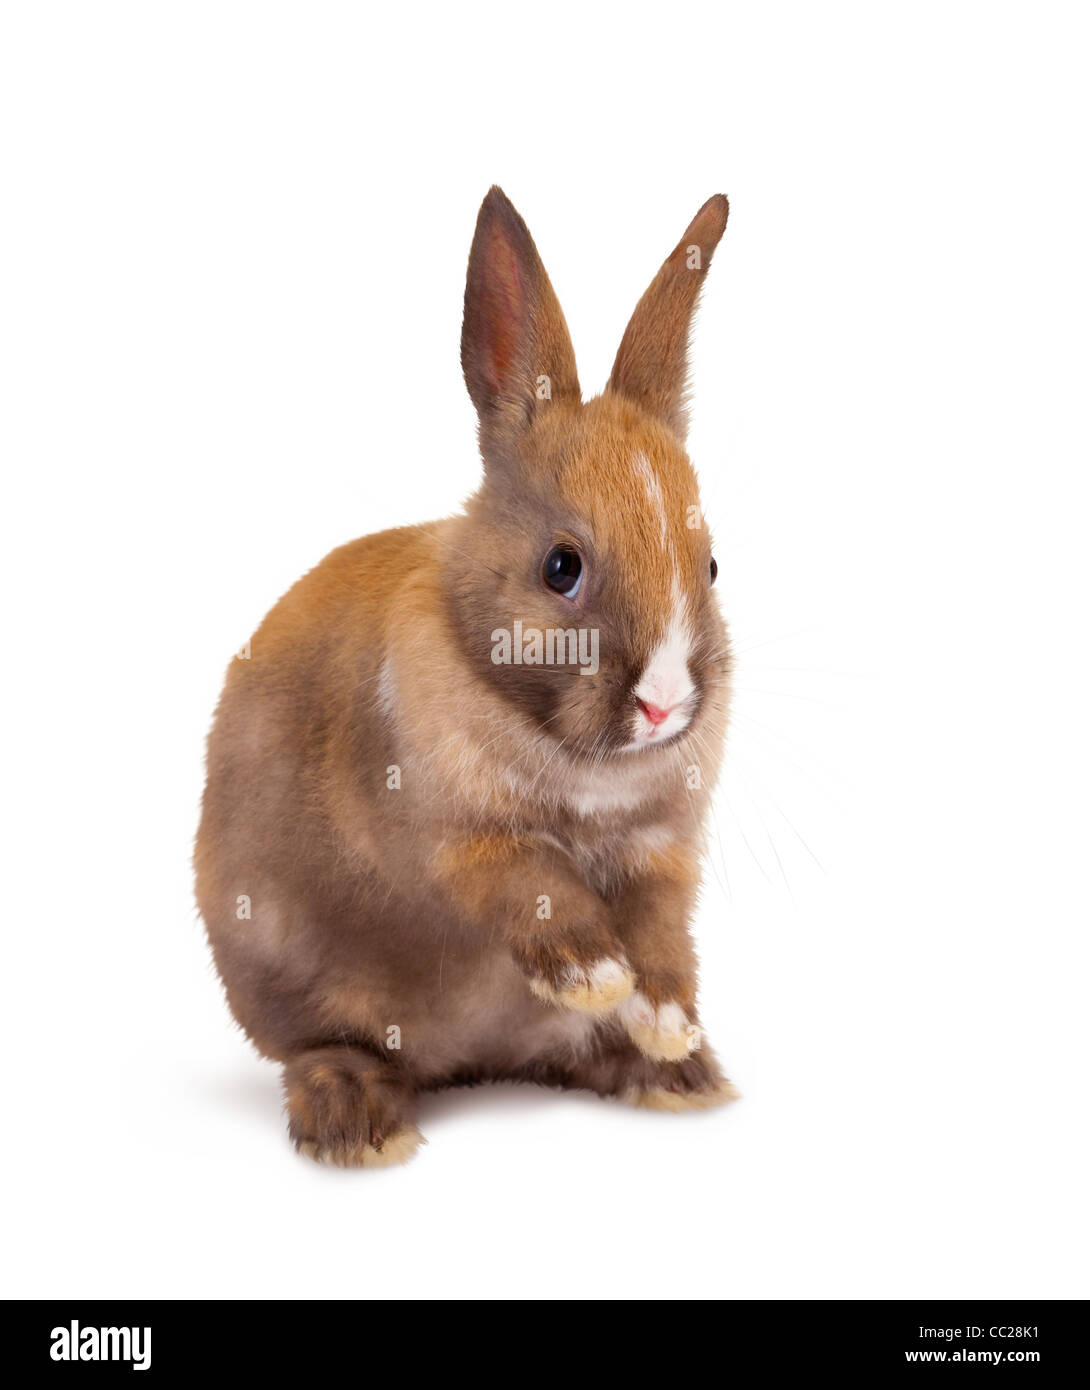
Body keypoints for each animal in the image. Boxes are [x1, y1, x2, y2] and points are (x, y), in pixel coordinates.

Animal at [195, 186, 737, 1167]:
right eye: (561, 567)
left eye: (711, 566)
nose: (665, 703)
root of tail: (470, 1066)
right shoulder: (462, 843)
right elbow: (538, 889)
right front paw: (594, 976)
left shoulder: (660, 854)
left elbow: (662, 936)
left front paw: (668, 1025)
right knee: (330, 1049)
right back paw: (359, 1123)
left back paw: (675, 1079)